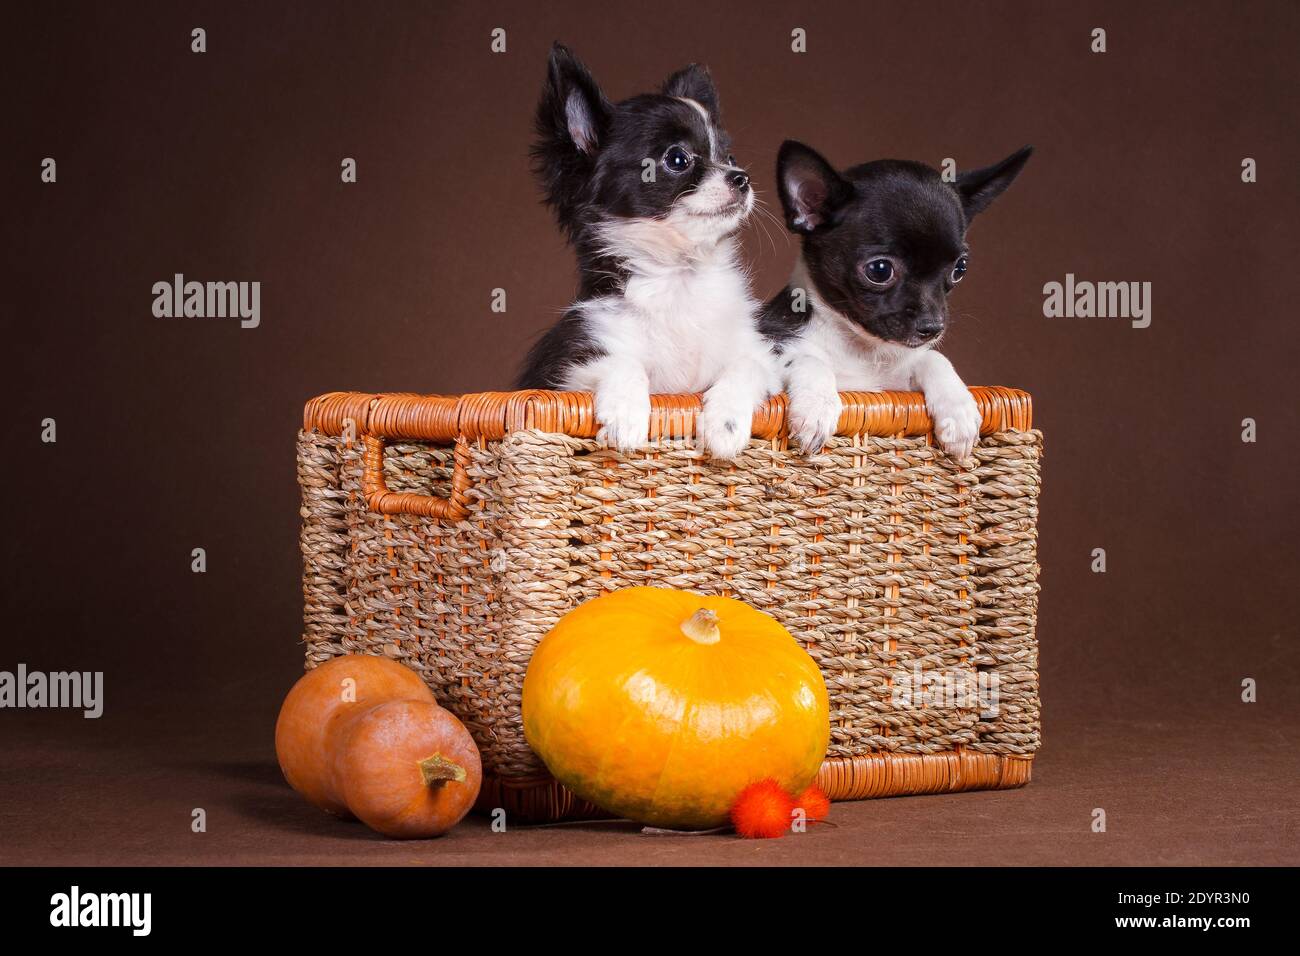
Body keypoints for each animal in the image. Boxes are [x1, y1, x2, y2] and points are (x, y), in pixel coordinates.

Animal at [517, 43, 780, 460]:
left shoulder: (759, 355)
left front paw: (725, 424)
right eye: (677, 159)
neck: (678, 277)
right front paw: (625, 415)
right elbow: (621, 363)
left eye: (729, 158)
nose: (742, 178)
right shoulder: (565, 367)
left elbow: (745, 366)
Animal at [759, 137, 1029, 460]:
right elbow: (808, 358)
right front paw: (817, 407)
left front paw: (959, 409)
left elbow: (932, 357)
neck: (863, 350)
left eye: (960, 269)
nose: (933, 327)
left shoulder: (898, 382)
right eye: (879, 270)